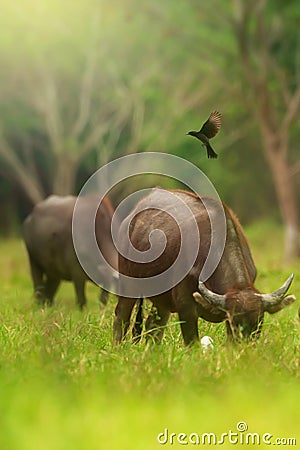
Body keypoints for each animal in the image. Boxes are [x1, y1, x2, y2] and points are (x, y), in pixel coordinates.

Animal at [113, 189, 296, 344]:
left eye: (259, 323)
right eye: (234, 322)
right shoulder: (186, 307)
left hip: (161, 299)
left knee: (154, 327)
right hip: (127, 284)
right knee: (121, 317)